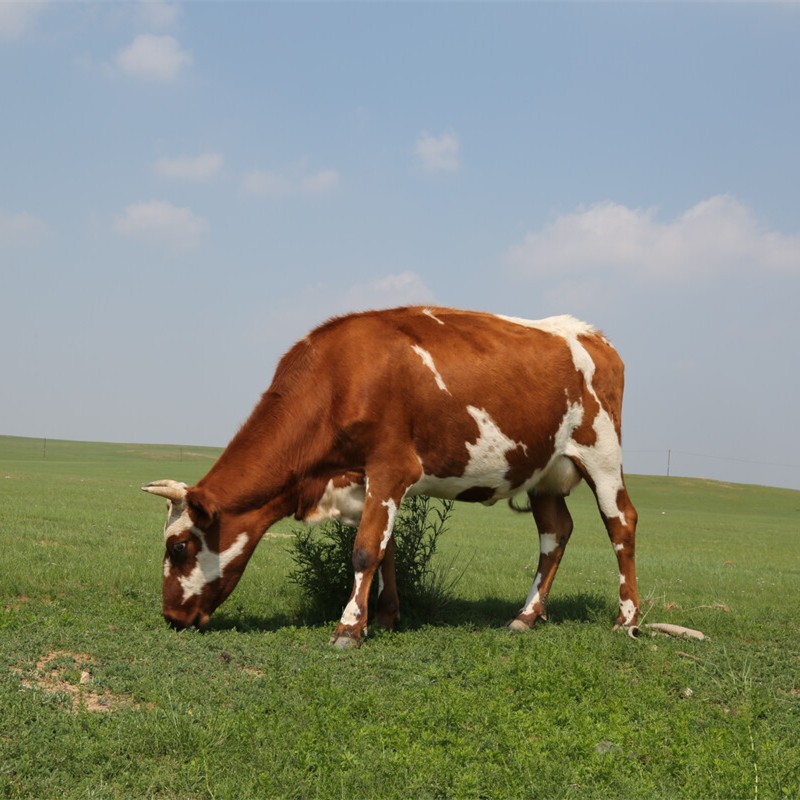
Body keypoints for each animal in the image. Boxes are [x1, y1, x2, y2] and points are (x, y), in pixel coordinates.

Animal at [143, 306, 640, 647]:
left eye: (179, 546)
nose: (170, 616)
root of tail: (592, 335)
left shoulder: (391, 466)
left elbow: (365, 550)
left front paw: (348, 628)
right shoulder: (365, 481)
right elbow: (386, 550)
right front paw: (383, 617)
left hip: (600, 452)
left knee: (621, 523)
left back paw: (628, 619)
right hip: (543, 472)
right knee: (556, 532)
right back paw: (526, 615)